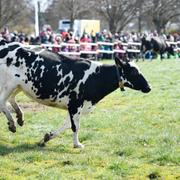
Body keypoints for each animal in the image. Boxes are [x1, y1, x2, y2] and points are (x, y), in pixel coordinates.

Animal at [0, 38, 151, 148]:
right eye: (134, 72)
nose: (149, 87)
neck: (96, 77)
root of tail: (7, 44)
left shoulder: (76, 107)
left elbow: (67, 124)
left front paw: (47, 137)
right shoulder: (75, 104)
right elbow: (75, 126)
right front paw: (77, 144)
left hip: (19, 85)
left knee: (11, 99)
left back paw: (19, 117)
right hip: (9, 84)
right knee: (2, 102)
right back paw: (12, 123)